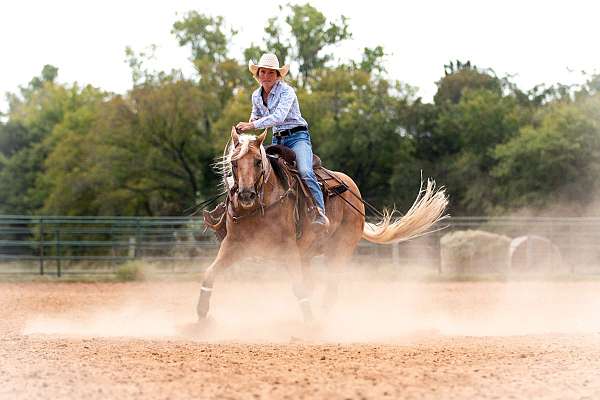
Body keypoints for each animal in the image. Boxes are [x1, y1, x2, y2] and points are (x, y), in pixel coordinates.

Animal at [198, 128, 450, 322]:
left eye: (258, 162)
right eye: (233, 163)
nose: (246, 195)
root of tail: (354, 191)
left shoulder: (288, 249)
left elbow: (299, 287)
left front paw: (311, 323)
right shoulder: (233, 245)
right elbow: (210, 273)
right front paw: (201, 314)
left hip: (339, 250)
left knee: (331, 285)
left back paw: (323, 317)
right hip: (308, 254)